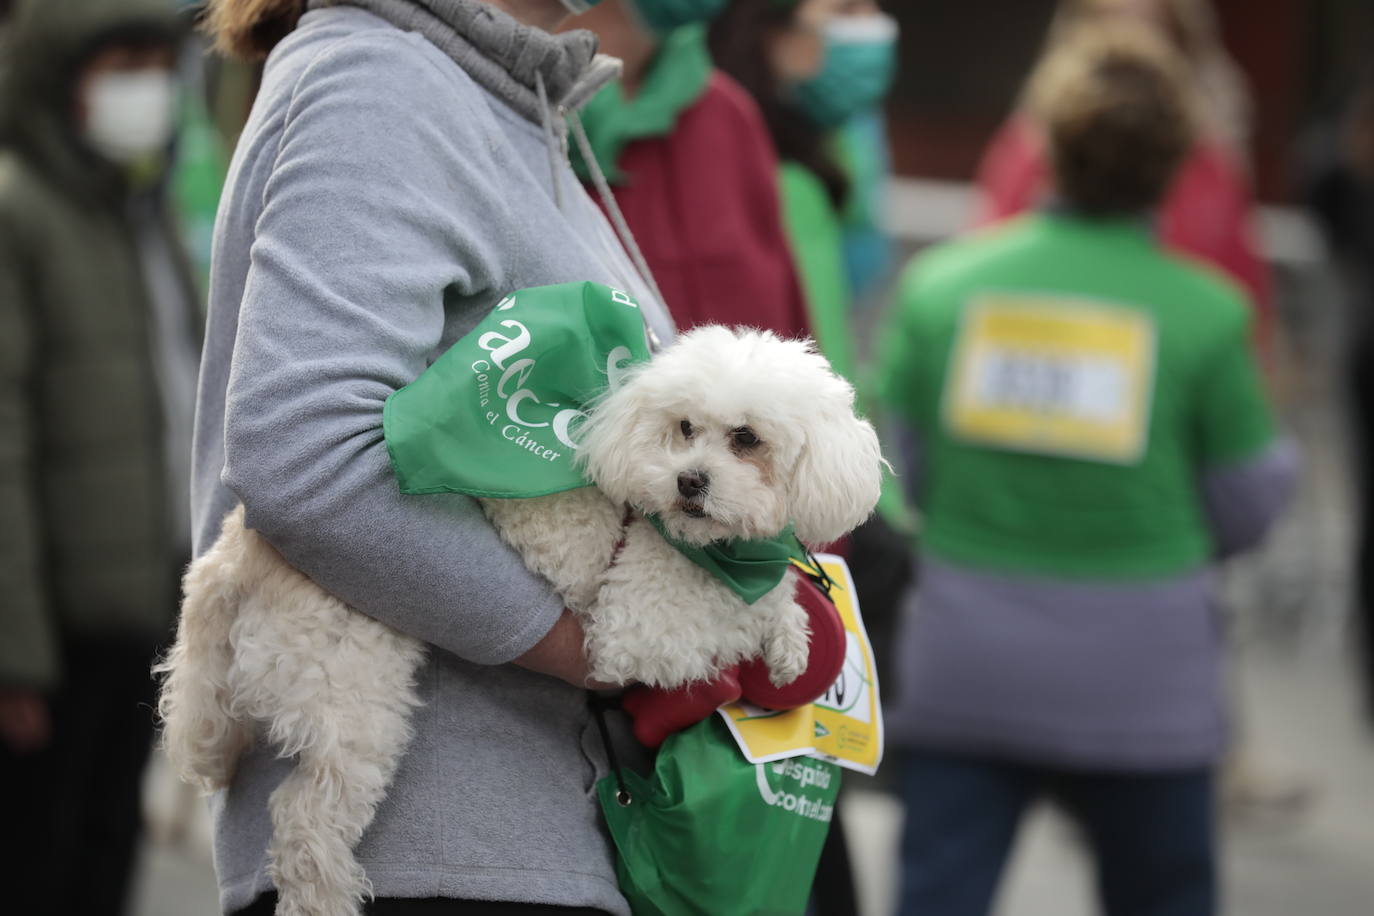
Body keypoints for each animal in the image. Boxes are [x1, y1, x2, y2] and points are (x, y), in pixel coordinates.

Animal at [150, 325, 879, 916]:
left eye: (747, 438)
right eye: (685, 428)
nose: (689, 482)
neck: (697, 544)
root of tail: (232, 556)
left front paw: (791, 634)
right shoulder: (639, 627)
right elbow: (737, 611)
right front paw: (785, 626)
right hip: (350, 697)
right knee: (303, 822)